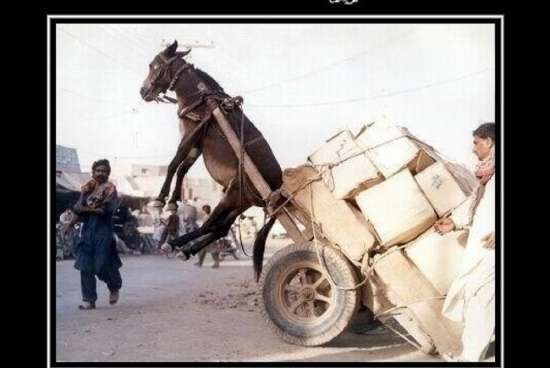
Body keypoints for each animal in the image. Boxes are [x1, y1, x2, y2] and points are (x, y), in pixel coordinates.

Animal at [138, 41, 284, 278]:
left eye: (153, 65)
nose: (143, 92)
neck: (200, 98)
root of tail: (278, 189)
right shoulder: (197, 144)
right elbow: (182, 169)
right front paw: (172, 202)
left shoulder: (191, 134)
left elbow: (173, 163)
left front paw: (160, 199)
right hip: (240, 201)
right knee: (220, 228)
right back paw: (185, 249)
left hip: (231, 197)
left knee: (209, 226)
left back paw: (177, 245)